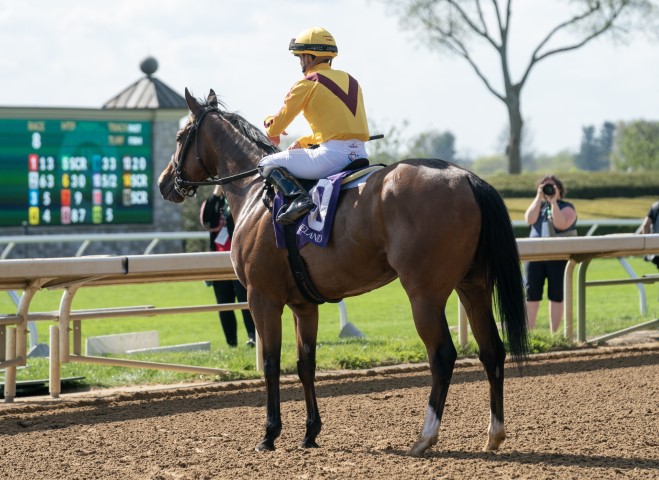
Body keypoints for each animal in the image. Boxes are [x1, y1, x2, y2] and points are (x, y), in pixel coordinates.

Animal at [160, 90, 532, 458]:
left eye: (179, 136)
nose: (165, 182)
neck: (255, 194)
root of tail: (468, 178)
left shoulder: (262, 297)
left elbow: (270, 363)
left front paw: (269, 434)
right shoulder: (303, 305)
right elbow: (305, 363)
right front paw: (310, 432)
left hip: (424, 293)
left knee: (442, 356)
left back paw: (424, 438)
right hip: (473, 285)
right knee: (492, 350)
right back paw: (493, 435)